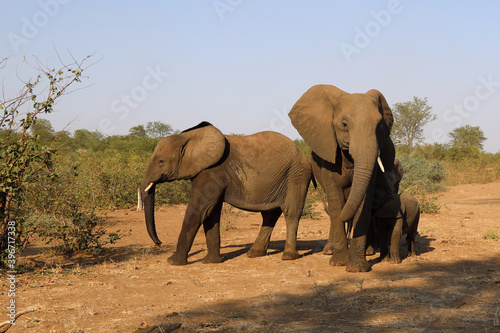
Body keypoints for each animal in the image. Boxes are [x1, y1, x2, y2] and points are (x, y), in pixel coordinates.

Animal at [141, 120, 312, 264]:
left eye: (161, 161)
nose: (159, 243)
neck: (188, 137)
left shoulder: (212, 171)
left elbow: (199, 211)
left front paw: (173, 262)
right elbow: (210, 213)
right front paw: (211, 262)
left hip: (296, 175)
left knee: (291, 213)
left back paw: (288, 257)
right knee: (269, 215)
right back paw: (254, 254)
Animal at [290, 84, 394, 272]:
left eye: (379, 126)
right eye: (344, 124)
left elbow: (363, 203)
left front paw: (357, 268)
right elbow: (337, 201)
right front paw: (338, 262)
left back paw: (368, 251)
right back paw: (329, 251)